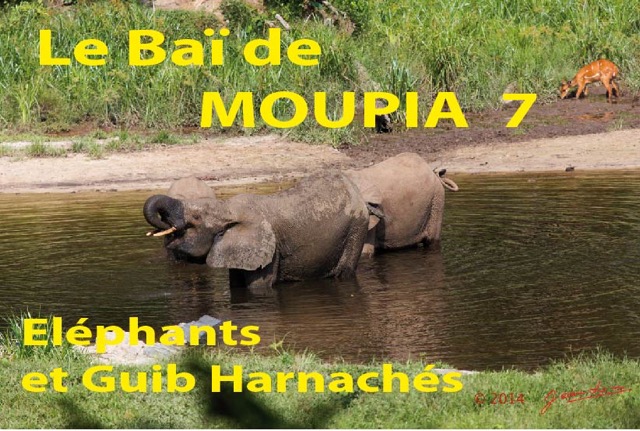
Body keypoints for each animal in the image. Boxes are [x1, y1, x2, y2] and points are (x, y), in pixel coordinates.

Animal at [143, 172, 372, 289]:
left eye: (196, 218)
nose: (168, 223)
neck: (227, 208)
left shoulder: (269, 250)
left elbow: (258, 288)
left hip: (357, 227)